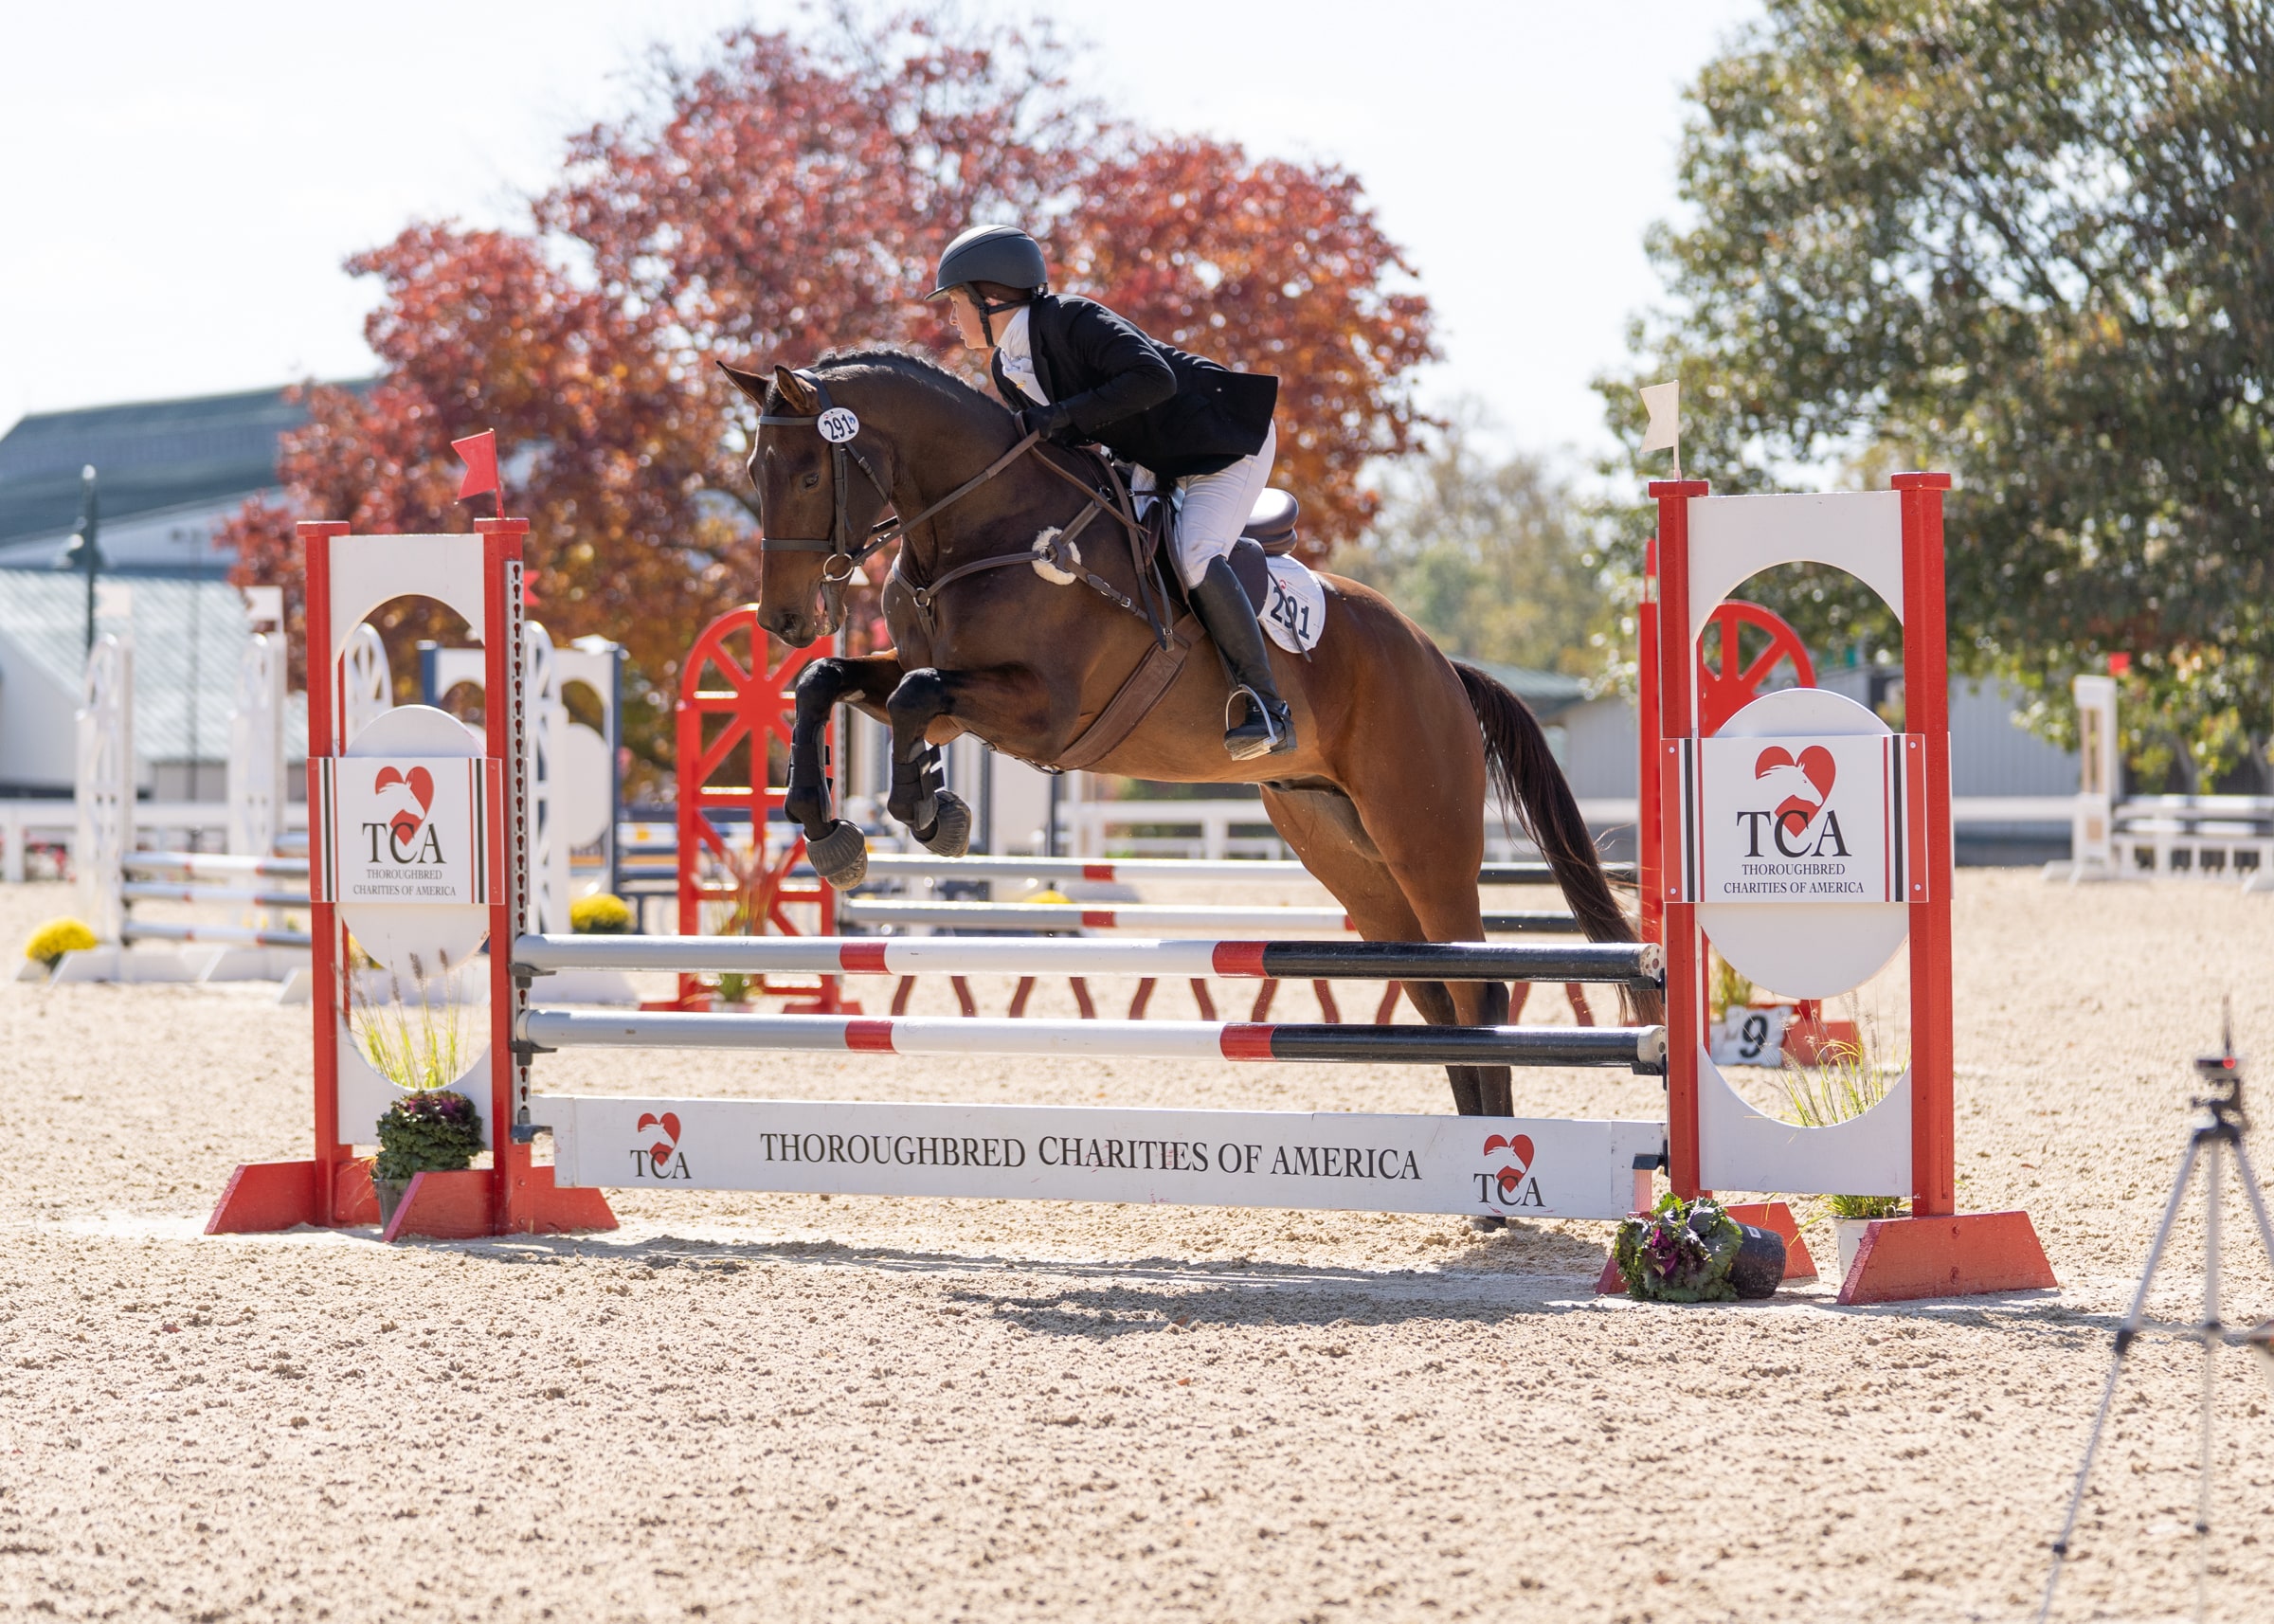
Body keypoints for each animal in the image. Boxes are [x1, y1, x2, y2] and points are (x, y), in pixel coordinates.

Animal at [718, 350, 1664, 1119]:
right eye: (757, 469)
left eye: (809, 477)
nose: (785, 619)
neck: (980, 523)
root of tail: (1441, 664)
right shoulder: (945, 686)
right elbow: (833, 685)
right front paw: (840, 826)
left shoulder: (1043, 712)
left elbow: (915, 697)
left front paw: (923, 809)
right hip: (1343, 850)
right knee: (1435, 992)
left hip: (1422, 837)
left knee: (1481, 988)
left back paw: (1495, 1181)